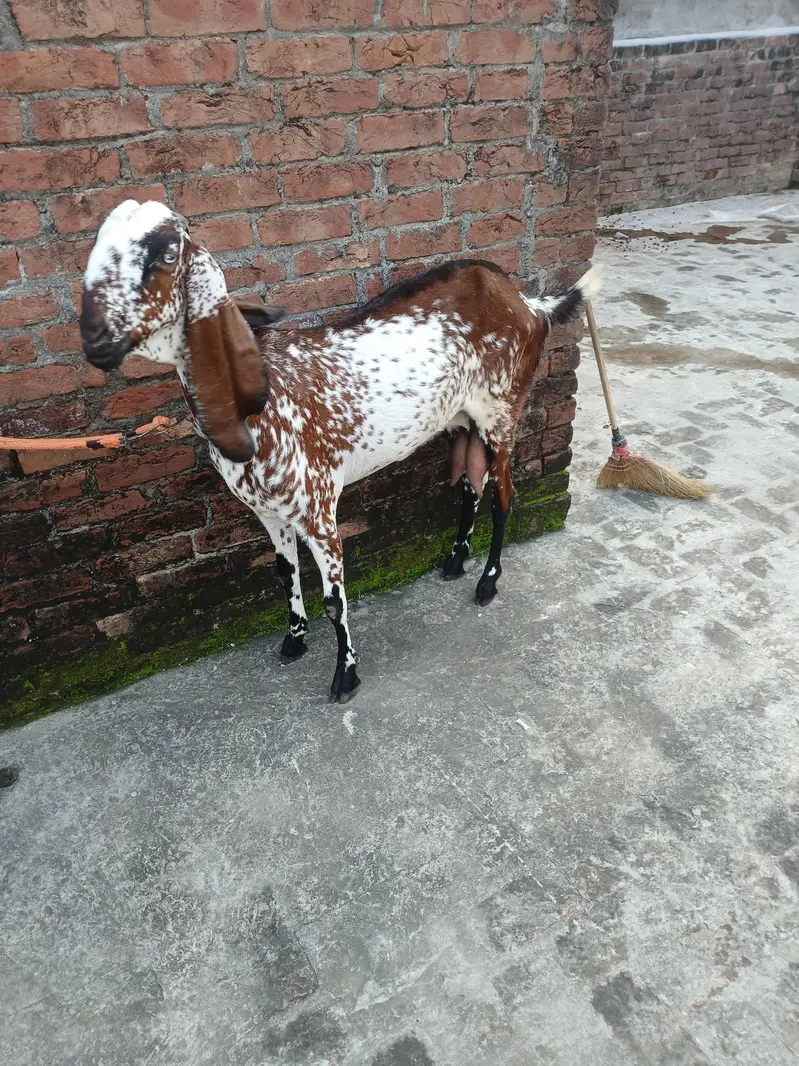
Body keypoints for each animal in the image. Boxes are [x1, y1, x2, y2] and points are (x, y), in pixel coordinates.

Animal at [80, 200, 602, 703]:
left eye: (166, 254)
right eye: (98, 244)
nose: (94, 336)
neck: (263, 399)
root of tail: (528, 302)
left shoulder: (318, 508)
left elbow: (334, 599)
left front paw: (345, 676)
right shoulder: (267, 511)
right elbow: (283, 572)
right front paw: (293, 641)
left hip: (502, 413)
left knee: (503, 494)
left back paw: (488, 581)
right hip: (463, 423)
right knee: (471, 486)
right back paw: (456, 562)